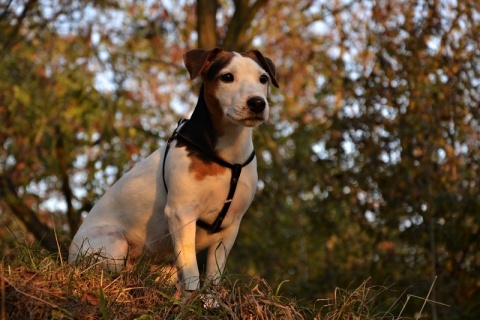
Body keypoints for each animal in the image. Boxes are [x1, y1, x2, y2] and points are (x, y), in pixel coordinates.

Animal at [67, 48, 278, 292]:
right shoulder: (181, 214)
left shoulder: (230, 226)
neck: (225, 153)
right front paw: (194, 297)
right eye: (227, 77)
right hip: (113, 243)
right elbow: (192, 272)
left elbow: (214, 275)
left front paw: (210, 299)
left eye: (263, 78)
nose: (258, 103)